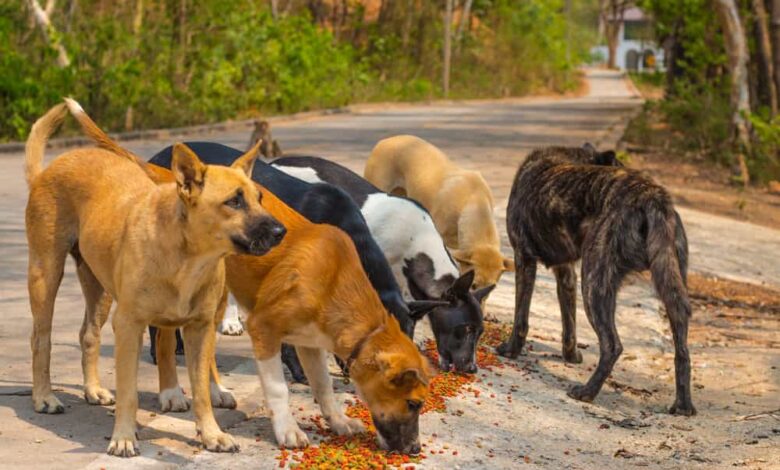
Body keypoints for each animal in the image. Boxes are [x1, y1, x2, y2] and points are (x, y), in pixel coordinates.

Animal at [23, 101, 286, 458]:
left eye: (259, 197)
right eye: (234, 201)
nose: (280, 232)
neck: (188, 256)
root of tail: (46, 171)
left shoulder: (200, 329)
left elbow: (202, 391)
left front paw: (212, 434)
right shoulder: (129, 326)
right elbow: (129, 391)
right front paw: (123, 437)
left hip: (100, 289)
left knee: (88, 334)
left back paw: (93, 389)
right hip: (45, 275)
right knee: (41, 339)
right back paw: (44, 397)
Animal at [494, 143, 696, 414]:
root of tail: (651, 196)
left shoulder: (523, 258)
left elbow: (520, 318)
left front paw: (510, 350)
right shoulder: (566, 271)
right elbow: (569, 324)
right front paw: (570, 356)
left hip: (594, 284)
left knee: (612, 345)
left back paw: (587, 392)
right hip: (671, 289)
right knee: (682, 351)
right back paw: (683, 405)